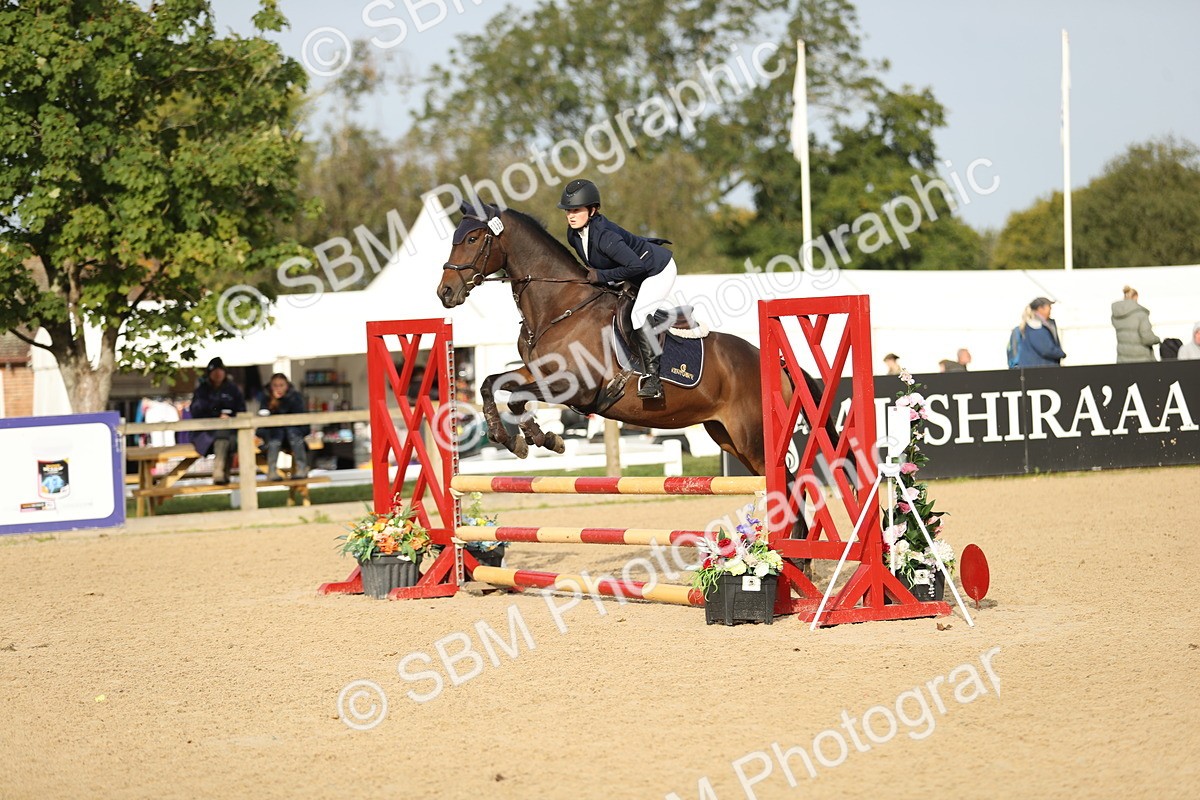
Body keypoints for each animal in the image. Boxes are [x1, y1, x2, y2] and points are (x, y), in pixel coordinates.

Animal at [435, 204, 832, 482]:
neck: (559, 307)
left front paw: (539, 438)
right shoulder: (537, 372)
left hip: (752, 437)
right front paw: (513, 437)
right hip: (727, 436)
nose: (445, 293)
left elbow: (516, 396)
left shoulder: (576, 388)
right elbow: (492, 385)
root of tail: (776, 362)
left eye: (472, 239)